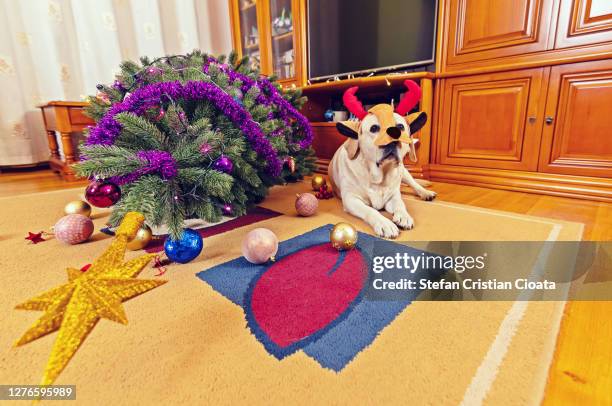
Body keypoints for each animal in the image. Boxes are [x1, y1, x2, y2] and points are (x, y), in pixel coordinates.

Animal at [330, 79, 436, 238]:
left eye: (400, 127)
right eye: (374, 128)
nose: (393, 138)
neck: (379, 176)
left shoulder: (394, 195)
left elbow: (400, 203)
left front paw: (404, 216)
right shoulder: (351, 199)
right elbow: (370, 210)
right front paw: (385, 224)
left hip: (404, 172)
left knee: (414, 184)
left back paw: (425, 193)